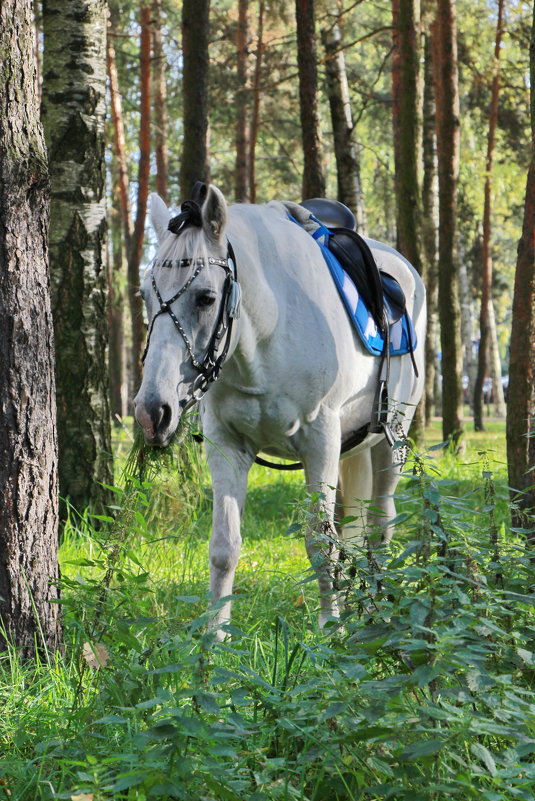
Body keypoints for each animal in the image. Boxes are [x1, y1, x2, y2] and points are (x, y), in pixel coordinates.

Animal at [135, 184, 428, 636]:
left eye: (206, 297)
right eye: (145, 295)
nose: (153, 412)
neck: (265, 334)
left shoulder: (320, 442)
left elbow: (321, 542)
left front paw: (330, 629)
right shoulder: (226, 446)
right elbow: (224, 546)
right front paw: (215, 636)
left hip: (390, 439)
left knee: (380, 524)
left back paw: (376, 611)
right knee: (355, 525)